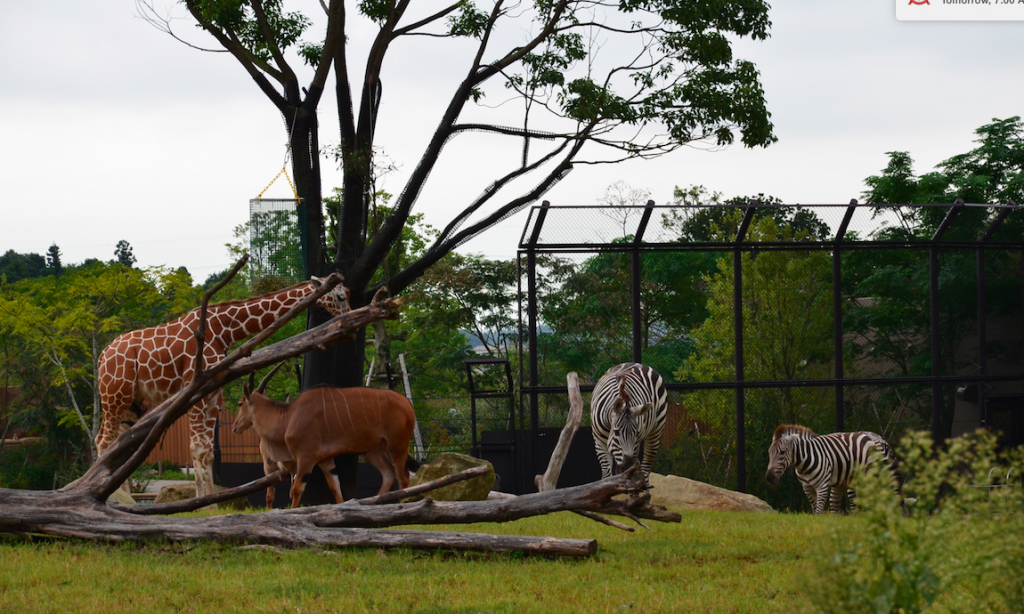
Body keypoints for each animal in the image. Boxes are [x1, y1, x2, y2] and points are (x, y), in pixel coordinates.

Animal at [96, 276, 352, 497]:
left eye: (348, 294)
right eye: (340, 296)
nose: (349, 316)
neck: (224, 329)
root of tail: (101, 357)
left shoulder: (212, 393)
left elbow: (208, 451)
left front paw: (212, 500)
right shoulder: (195, 391)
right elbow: (196, 447)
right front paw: (199, 499)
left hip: (131, 402)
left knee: (116, 441)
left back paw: (122, 495)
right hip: (114, 395)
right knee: (103, 441)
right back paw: (114, 497)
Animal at [234, 364, 415, 507]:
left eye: (240, 403)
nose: (235, 426)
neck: (289, 417)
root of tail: (407, 403)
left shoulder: (306, 458)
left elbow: (296, 489)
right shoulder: (325, 460)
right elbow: (335, 486)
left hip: (397, 444)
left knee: (403, 476)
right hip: (373, 450)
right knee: (389, 473)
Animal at [765, 421, 909, 513]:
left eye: (782, 452)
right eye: (769, 453)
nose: (769, 478)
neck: (804, 462)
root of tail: (877, 438)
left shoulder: (822, 486)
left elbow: (819, 511)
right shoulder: (807, 487)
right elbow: (815, 510)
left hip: (872, 477)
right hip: (844, 483)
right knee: (840, 507)